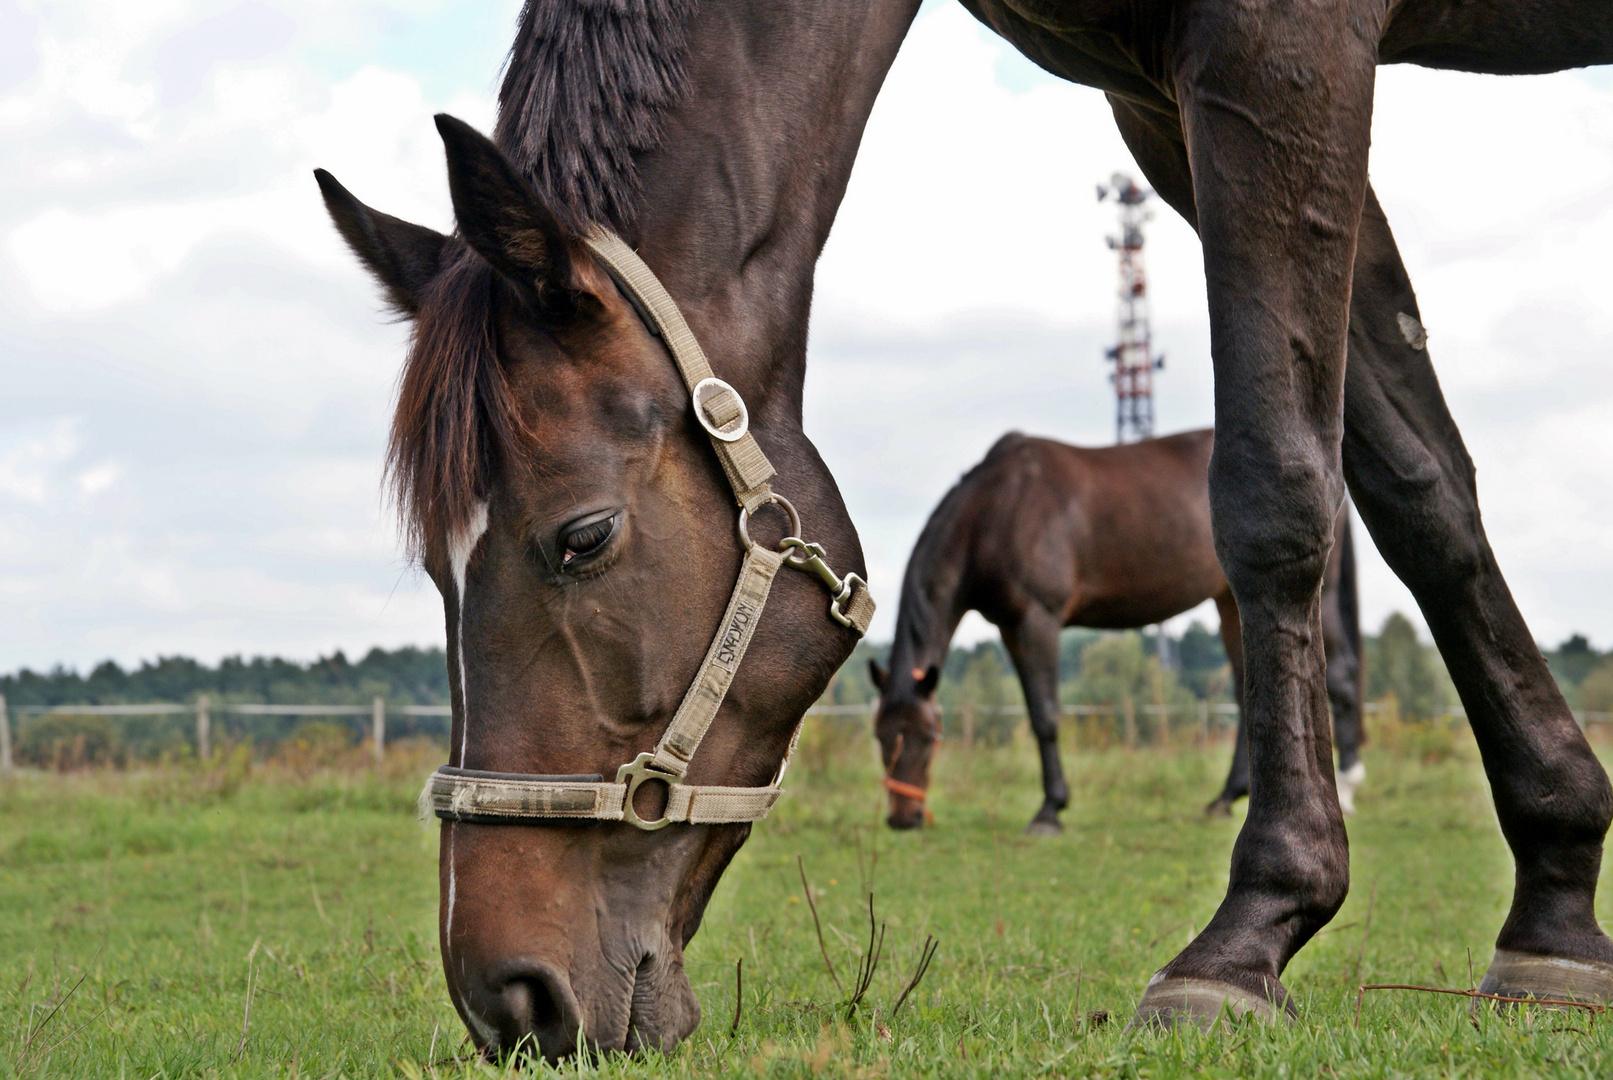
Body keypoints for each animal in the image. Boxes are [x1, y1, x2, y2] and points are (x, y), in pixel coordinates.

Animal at [871, 428, 1361, 831]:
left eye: (926, 737)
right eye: (881, 735)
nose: (901, 819)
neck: (998, 507)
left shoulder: (1038, 620)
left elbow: (1046, 715)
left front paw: (1050, 810)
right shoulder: (1012, 629)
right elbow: (1033, 712)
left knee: (1338, 677)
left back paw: (1348, 787)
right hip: (1230, 601)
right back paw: (1225, 798)